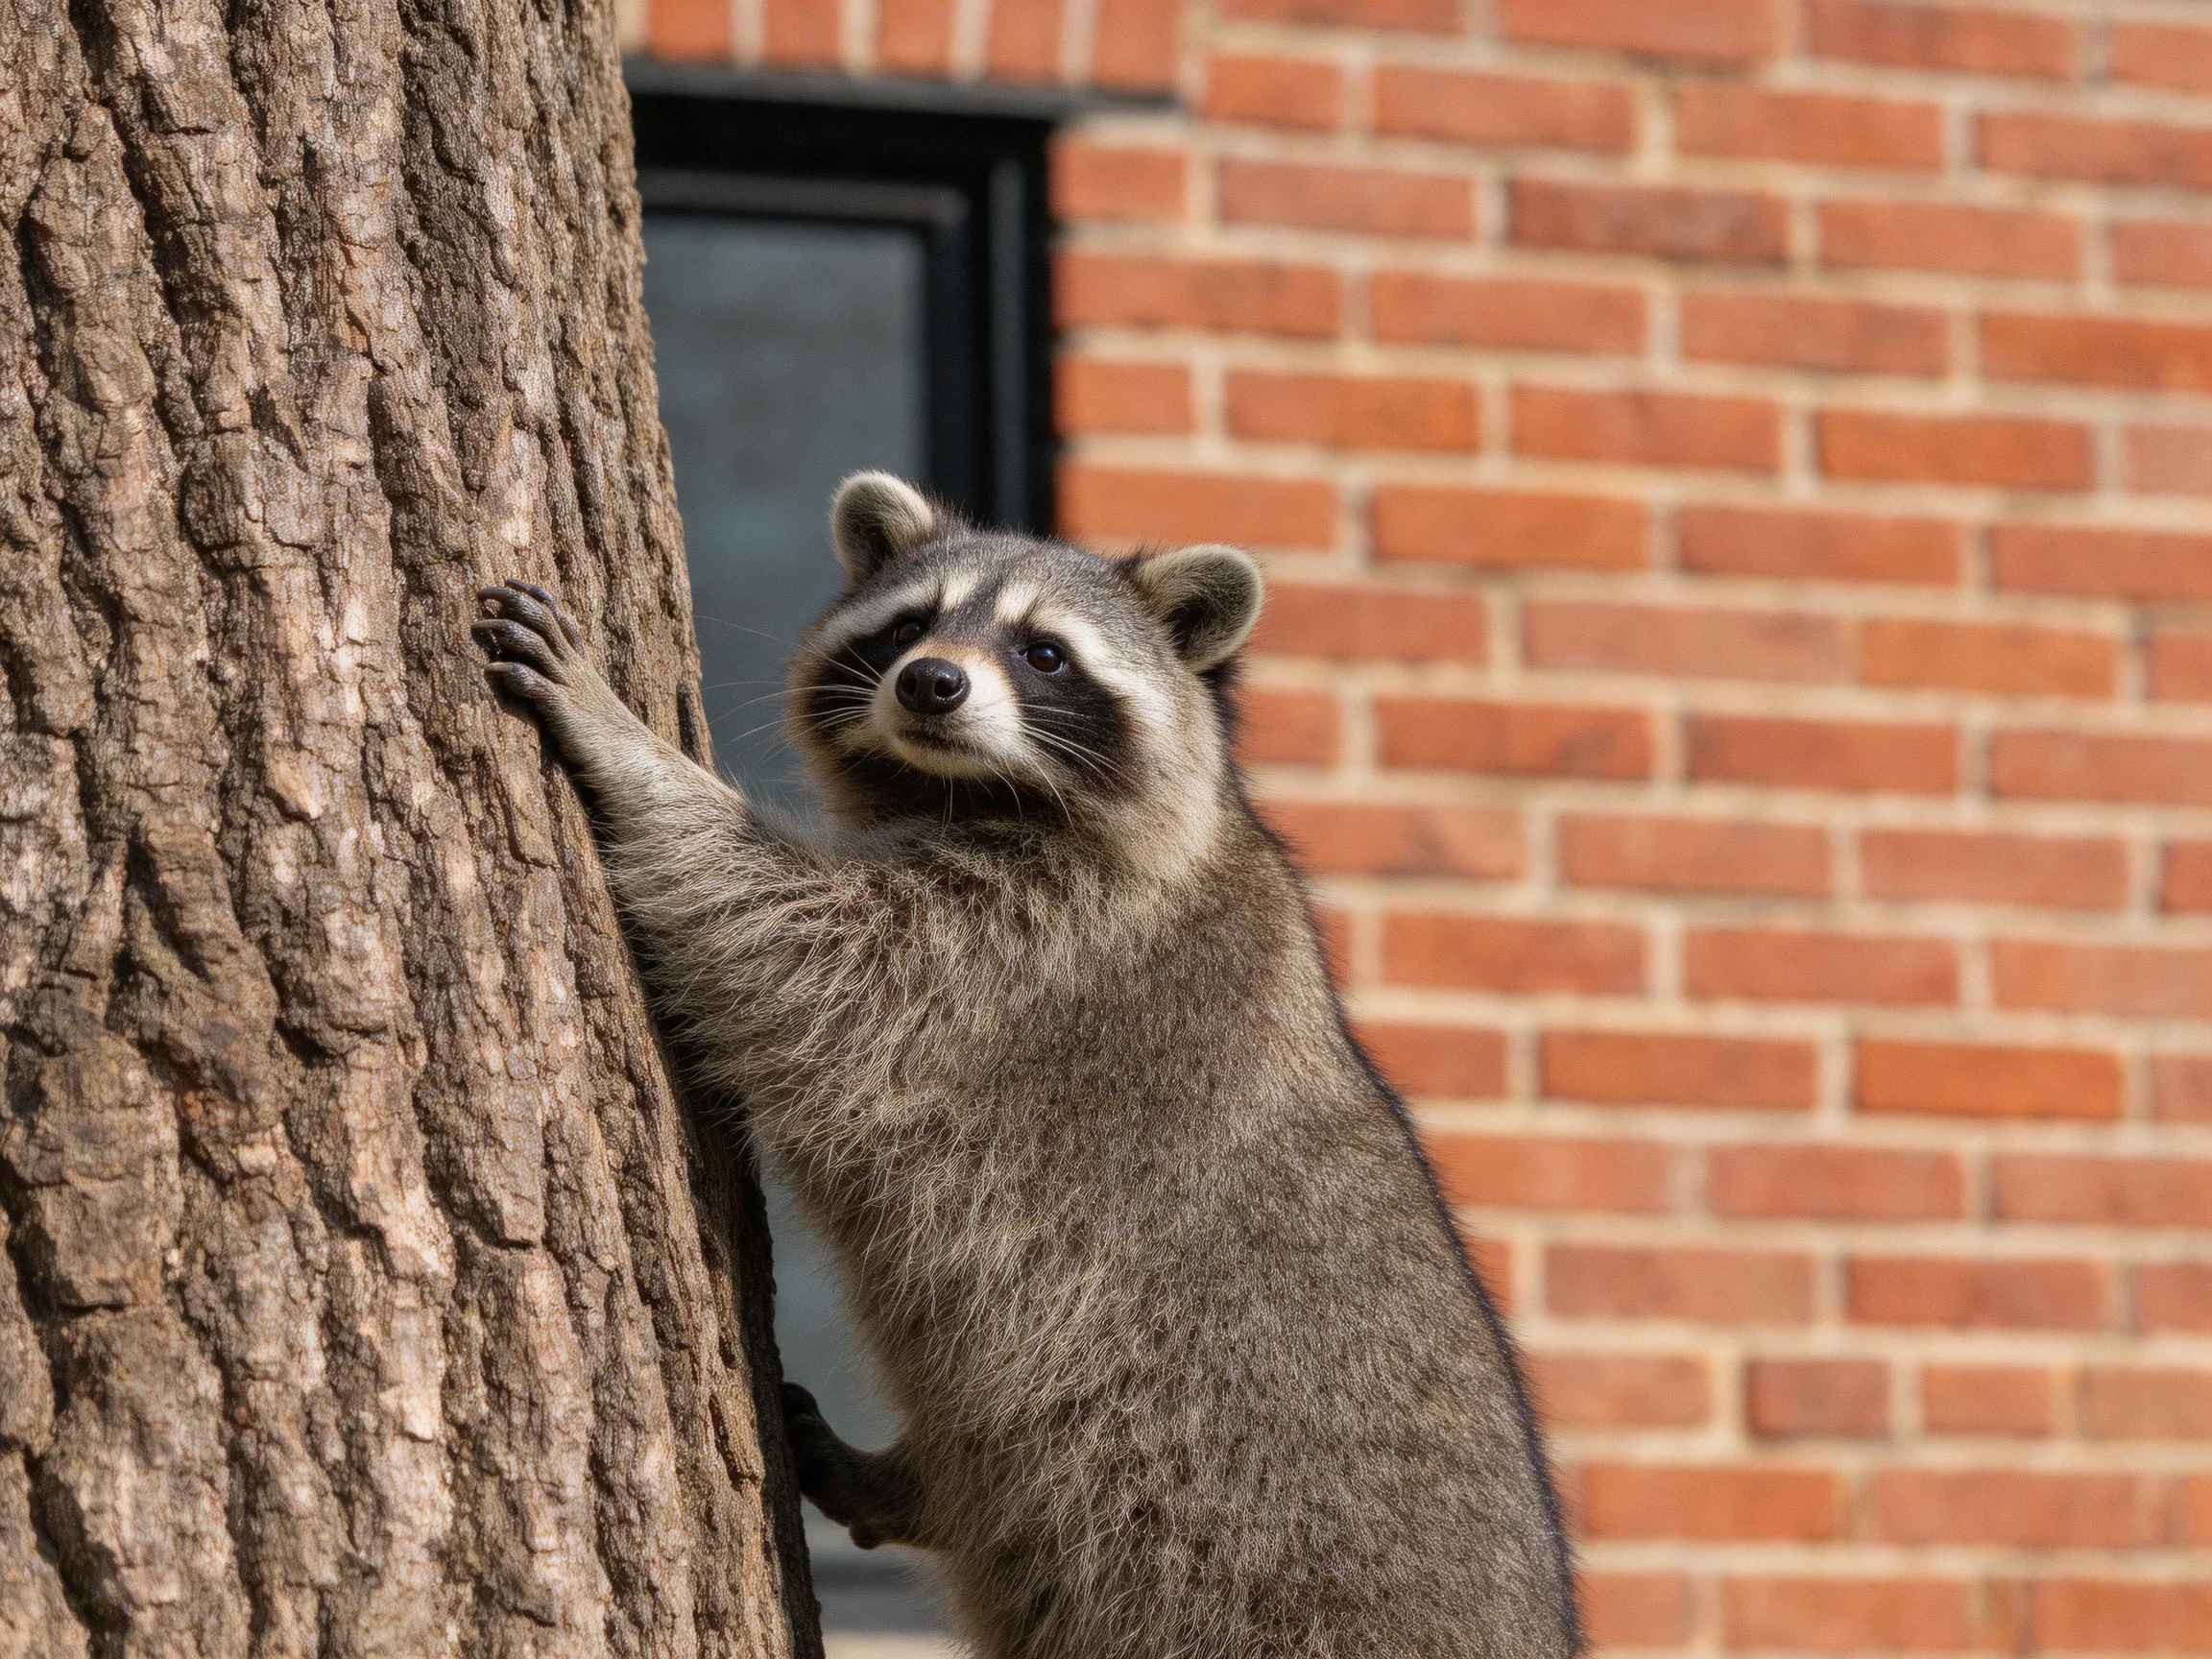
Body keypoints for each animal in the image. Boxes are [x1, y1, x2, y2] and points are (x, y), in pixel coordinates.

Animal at [472, 473, 1580, 1659]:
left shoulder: (1035, 957)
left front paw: (627, 746)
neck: (962, 791)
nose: (931, 682)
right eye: (910, 625)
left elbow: (791, 942)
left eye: (1045, 654)